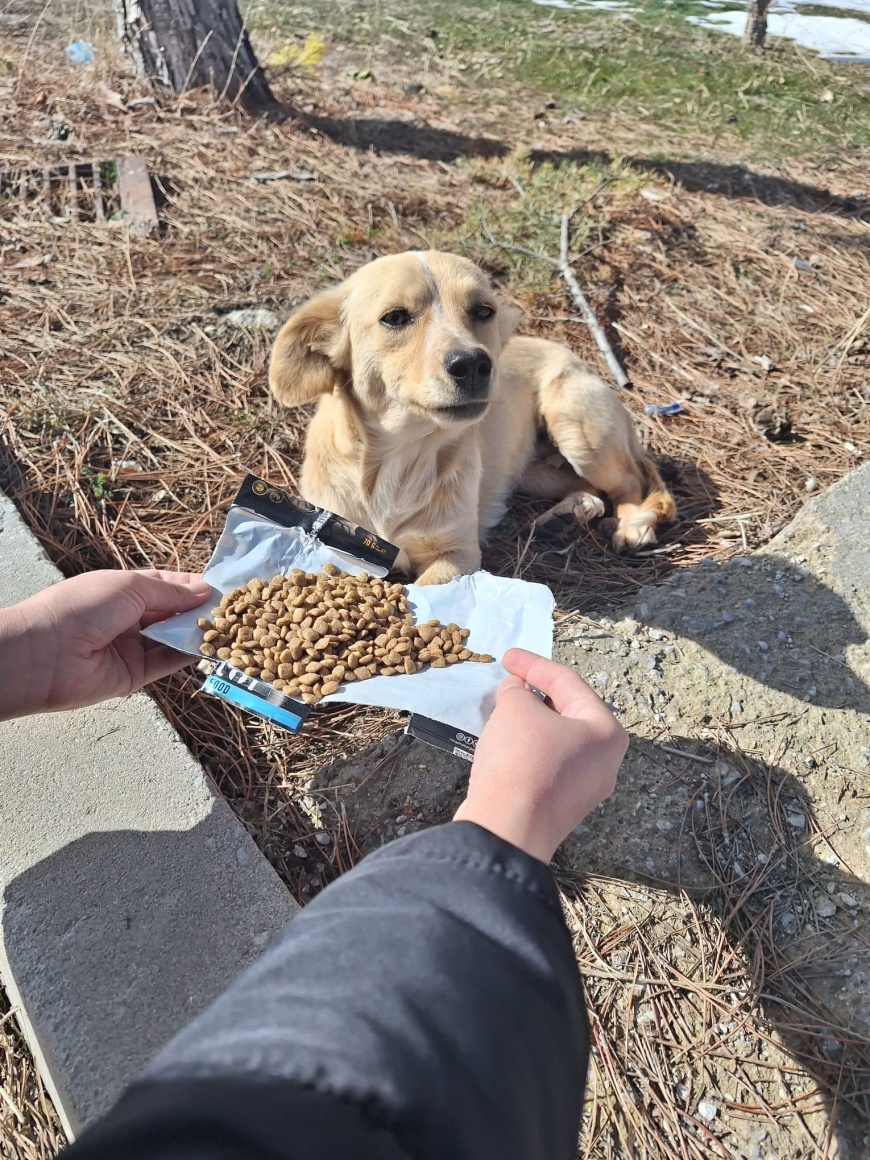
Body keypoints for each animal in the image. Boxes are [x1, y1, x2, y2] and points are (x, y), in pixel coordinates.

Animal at [269, 250, 677, 584]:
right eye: (395, 317)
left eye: (483, 311)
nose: (473, 365)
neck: (401, 461)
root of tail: (579, 359)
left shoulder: (458, 555)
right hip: (535, 473)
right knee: (591, 489)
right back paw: (567, 515)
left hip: (576, 429)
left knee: (629, 483)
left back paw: (633, 526)